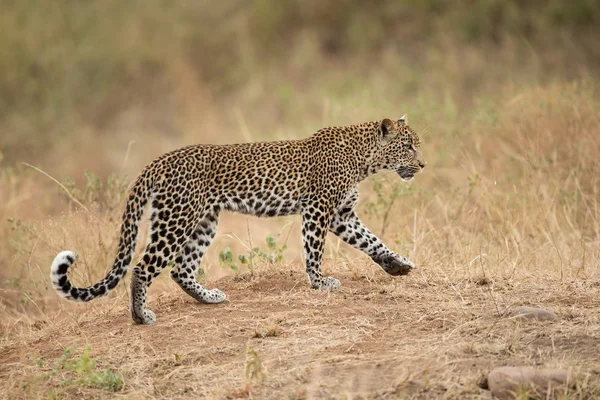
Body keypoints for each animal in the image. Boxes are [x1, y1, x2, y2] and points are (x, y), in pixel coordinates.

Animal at [51, 114, 426, 324]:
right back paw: (141, 317)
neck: (364, 159)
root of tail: (159, 160)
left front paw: (398, 265)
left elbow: (372, 240)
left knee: (180, 269)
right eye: (408, 146)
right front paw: (320, 282)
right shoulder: (319, 209)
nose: (422, 165)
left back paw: (208, 298)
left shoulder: (341, 215)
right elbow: (314, 250)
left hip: (203, 222)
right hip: (177, 220)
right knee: (143, 267)